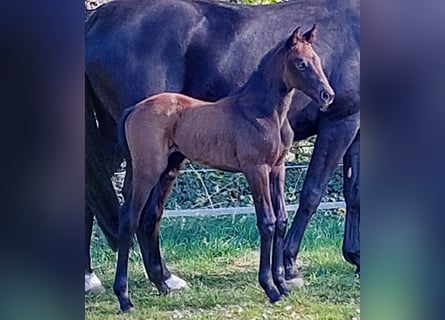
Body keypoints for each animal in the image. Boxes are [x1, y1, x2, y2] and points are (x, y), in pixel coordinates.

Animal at [114, 26, 332, 312]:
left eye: (316, 59)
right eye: (301, 63)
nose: (328, 95)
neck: (263, 112)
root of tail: (134, 108)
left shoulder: (277, 169)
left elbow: (282, 220)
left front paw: (282, 285)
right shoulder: (255, 169)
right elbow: (267, 222)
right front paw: (270, 288)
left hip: (162, 170)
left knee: (144, 218)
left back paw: (162, 287)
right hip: (147, 171)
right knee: (130, 220)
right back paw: (124, 298)